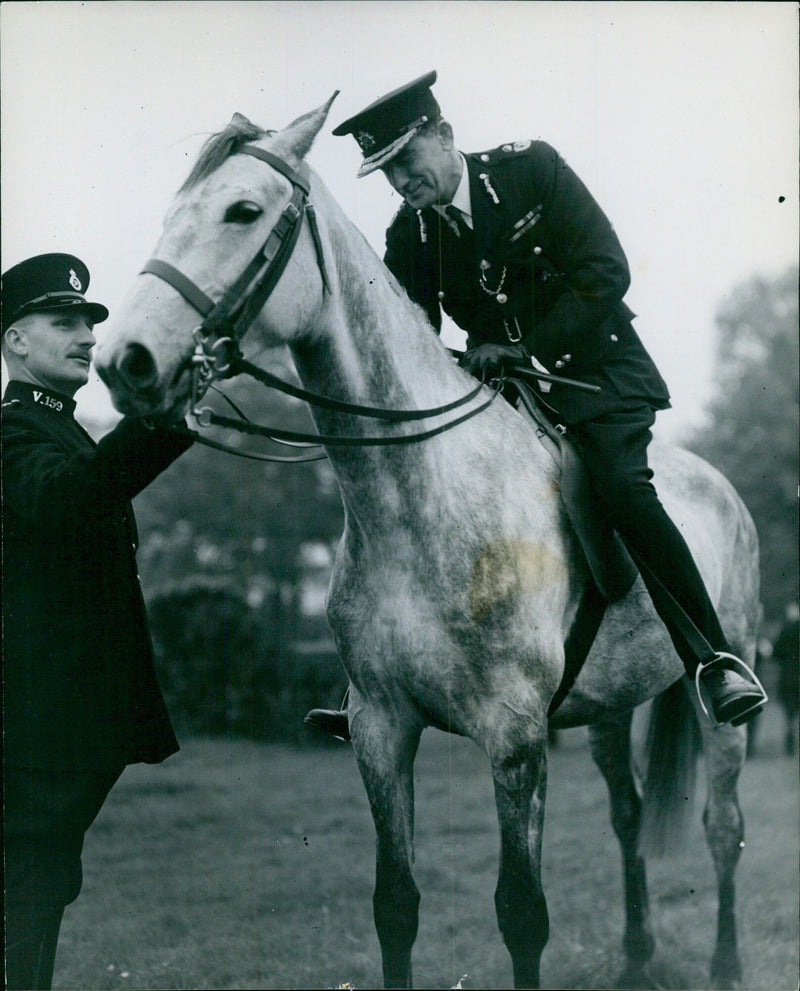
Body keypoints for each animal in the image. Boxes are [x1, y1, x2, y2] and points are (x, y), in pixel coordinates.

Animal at [95, 101, 756, 991]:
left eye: (243, 211)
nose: (122, 362)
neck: (418, 498)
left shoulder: (514, 739)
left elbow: (522, 912)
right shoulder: (381, 728)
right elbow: (396, 904)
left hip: (723, 697)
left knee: (724, 826)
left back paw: (724, 960)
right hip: (608, 708)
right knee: (628, 812)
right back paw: (636, 953)